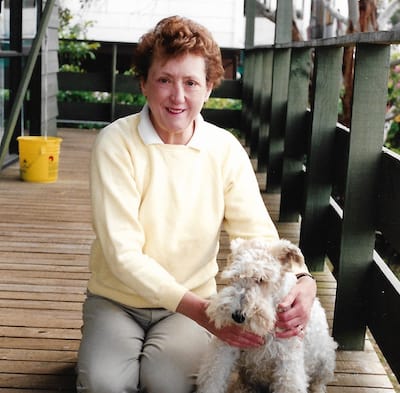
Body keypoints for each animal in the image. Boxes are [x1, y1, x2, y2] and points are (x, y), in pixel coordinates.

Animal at [198, 237, 338, 390]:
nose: (237, 316)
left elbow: (289, 384)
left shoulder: (287, 360)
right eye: (234, 276)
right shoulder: (226, 346)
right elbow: (213, 378)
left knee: (318, 382)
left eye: (261, 279)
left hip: (326, 360)